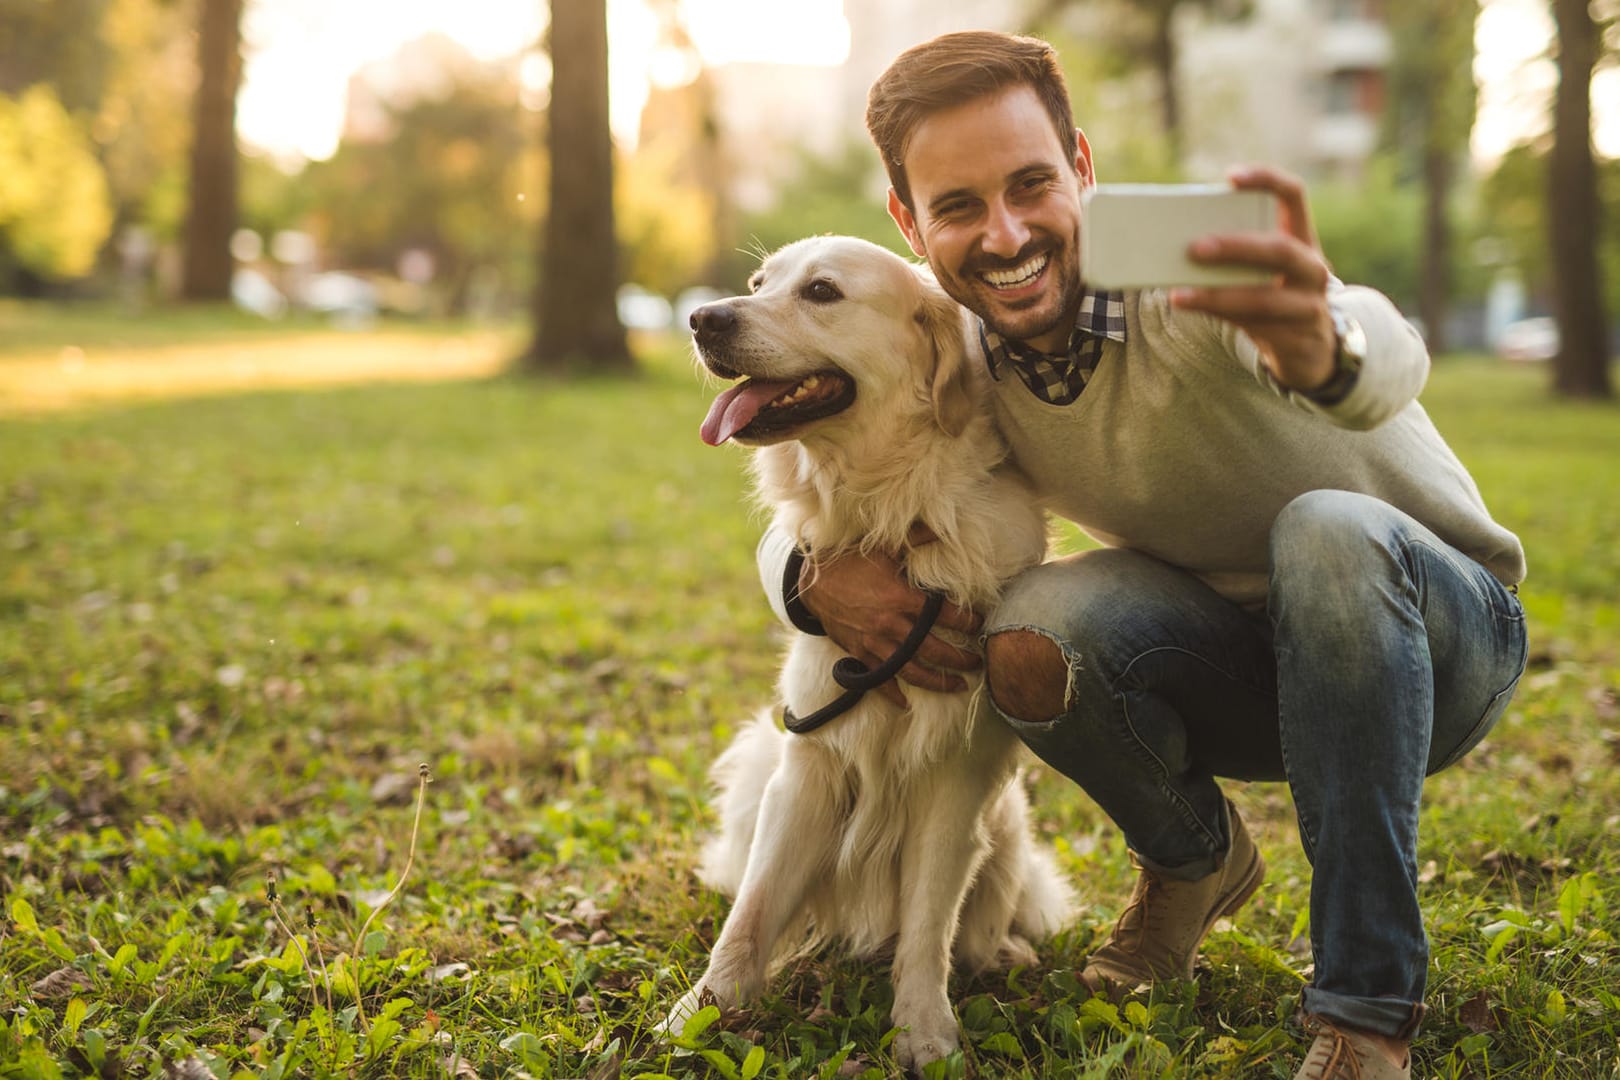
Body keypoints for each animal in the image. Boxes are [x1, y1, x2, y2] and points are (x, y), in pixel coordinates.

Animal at [664, 236, 1082, 1075]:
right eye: (759, 282)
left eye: (822, 292)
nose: (702, 318)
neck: (893, 511)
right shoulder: (810, 764)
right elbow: (753, 913)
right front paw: (700, 1014)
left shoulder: (956, 777)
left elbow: (927, 927)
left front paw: (924, 1032)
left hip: (1006, 823)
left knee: (982, 922)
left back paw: (1003, 951)